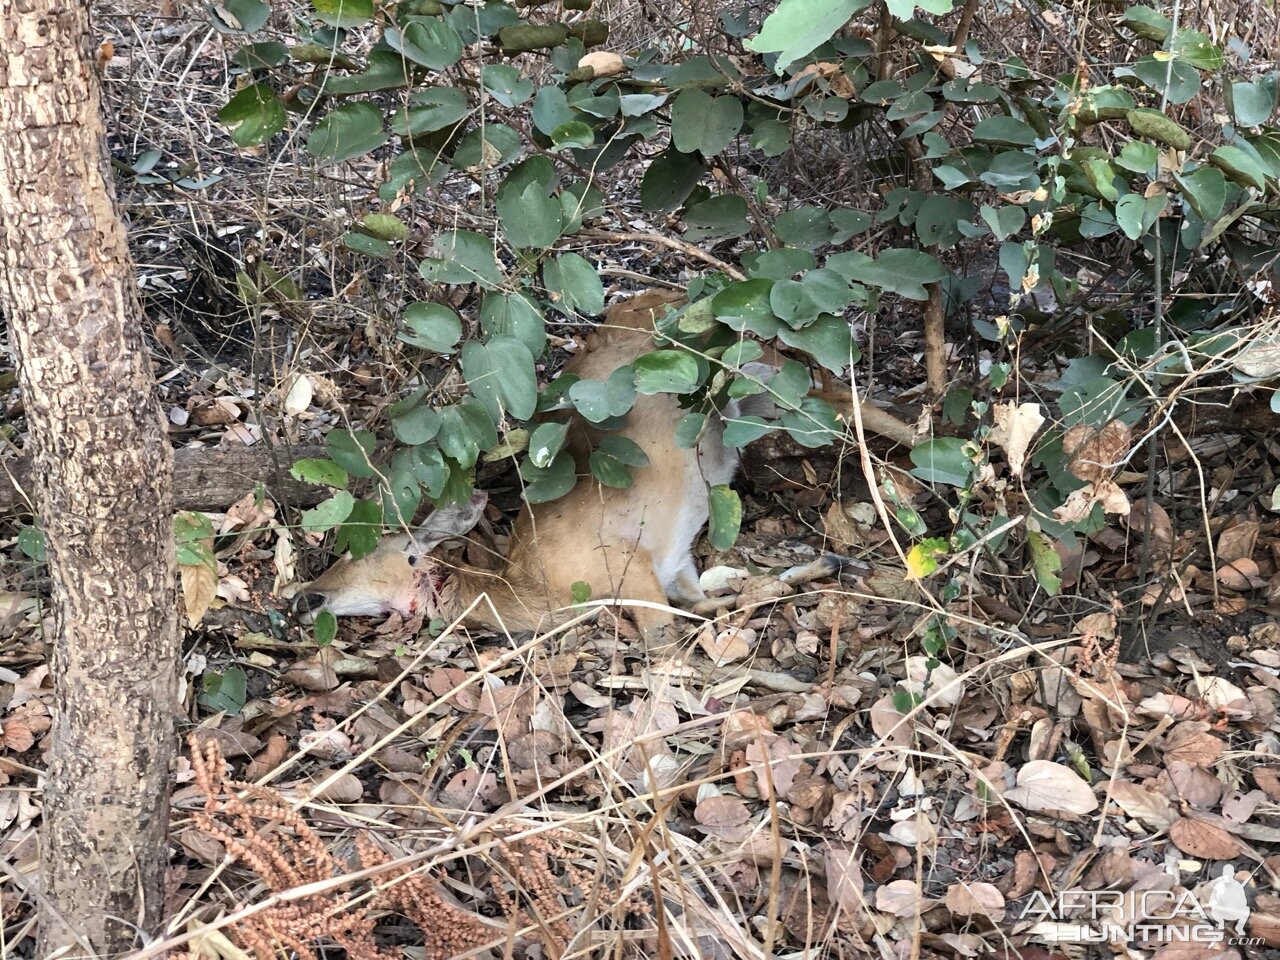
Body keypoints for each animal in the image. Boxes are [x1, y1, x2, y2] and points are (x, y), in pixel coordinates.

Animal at [295, 289, 906, 642]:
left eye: (371, 551)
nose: (308, 596)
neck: (540, 592)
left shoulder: (628, 567)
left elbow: (670, 632)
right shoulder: (674, 566)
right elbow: (715, 601)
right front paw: (824, 567)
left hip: (755, 368)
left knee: (837, 391)